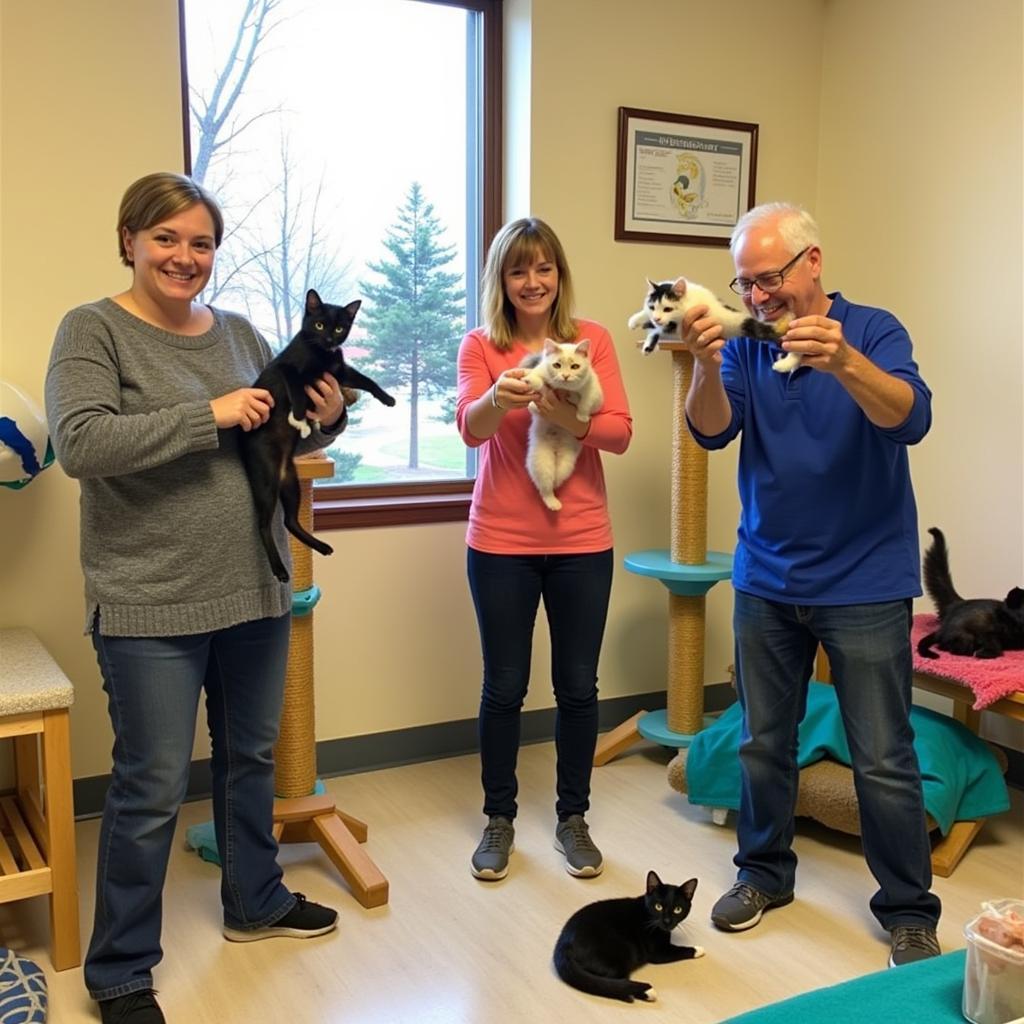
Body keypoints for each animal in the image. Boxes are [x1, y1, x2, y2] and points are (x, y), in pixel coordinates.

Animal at [239, 288, 395, 585]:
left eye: (339, 327)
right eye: (320, 325)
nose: (330, 339)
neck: (321, 354)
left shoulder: (338, 371)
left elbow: (365, 379)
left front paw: (387, 398)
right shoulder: (287, 369)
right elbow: (298, 390)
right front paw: (299, 418)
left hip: (291, 480)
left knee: (290, 520)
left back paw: (321, 546)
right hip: (266, 479)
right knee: (263, 523)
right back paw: (280, 570)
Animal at [552, 868, 704, 1003]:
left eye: (678, 909)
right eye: (658, 907)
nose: (667, 921)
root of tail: (563, 944)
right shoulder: (658, 952)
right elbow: (679, 950)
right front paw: (699, 949)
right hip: (622, 950)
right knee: (613, 980)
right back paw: (645, 992)